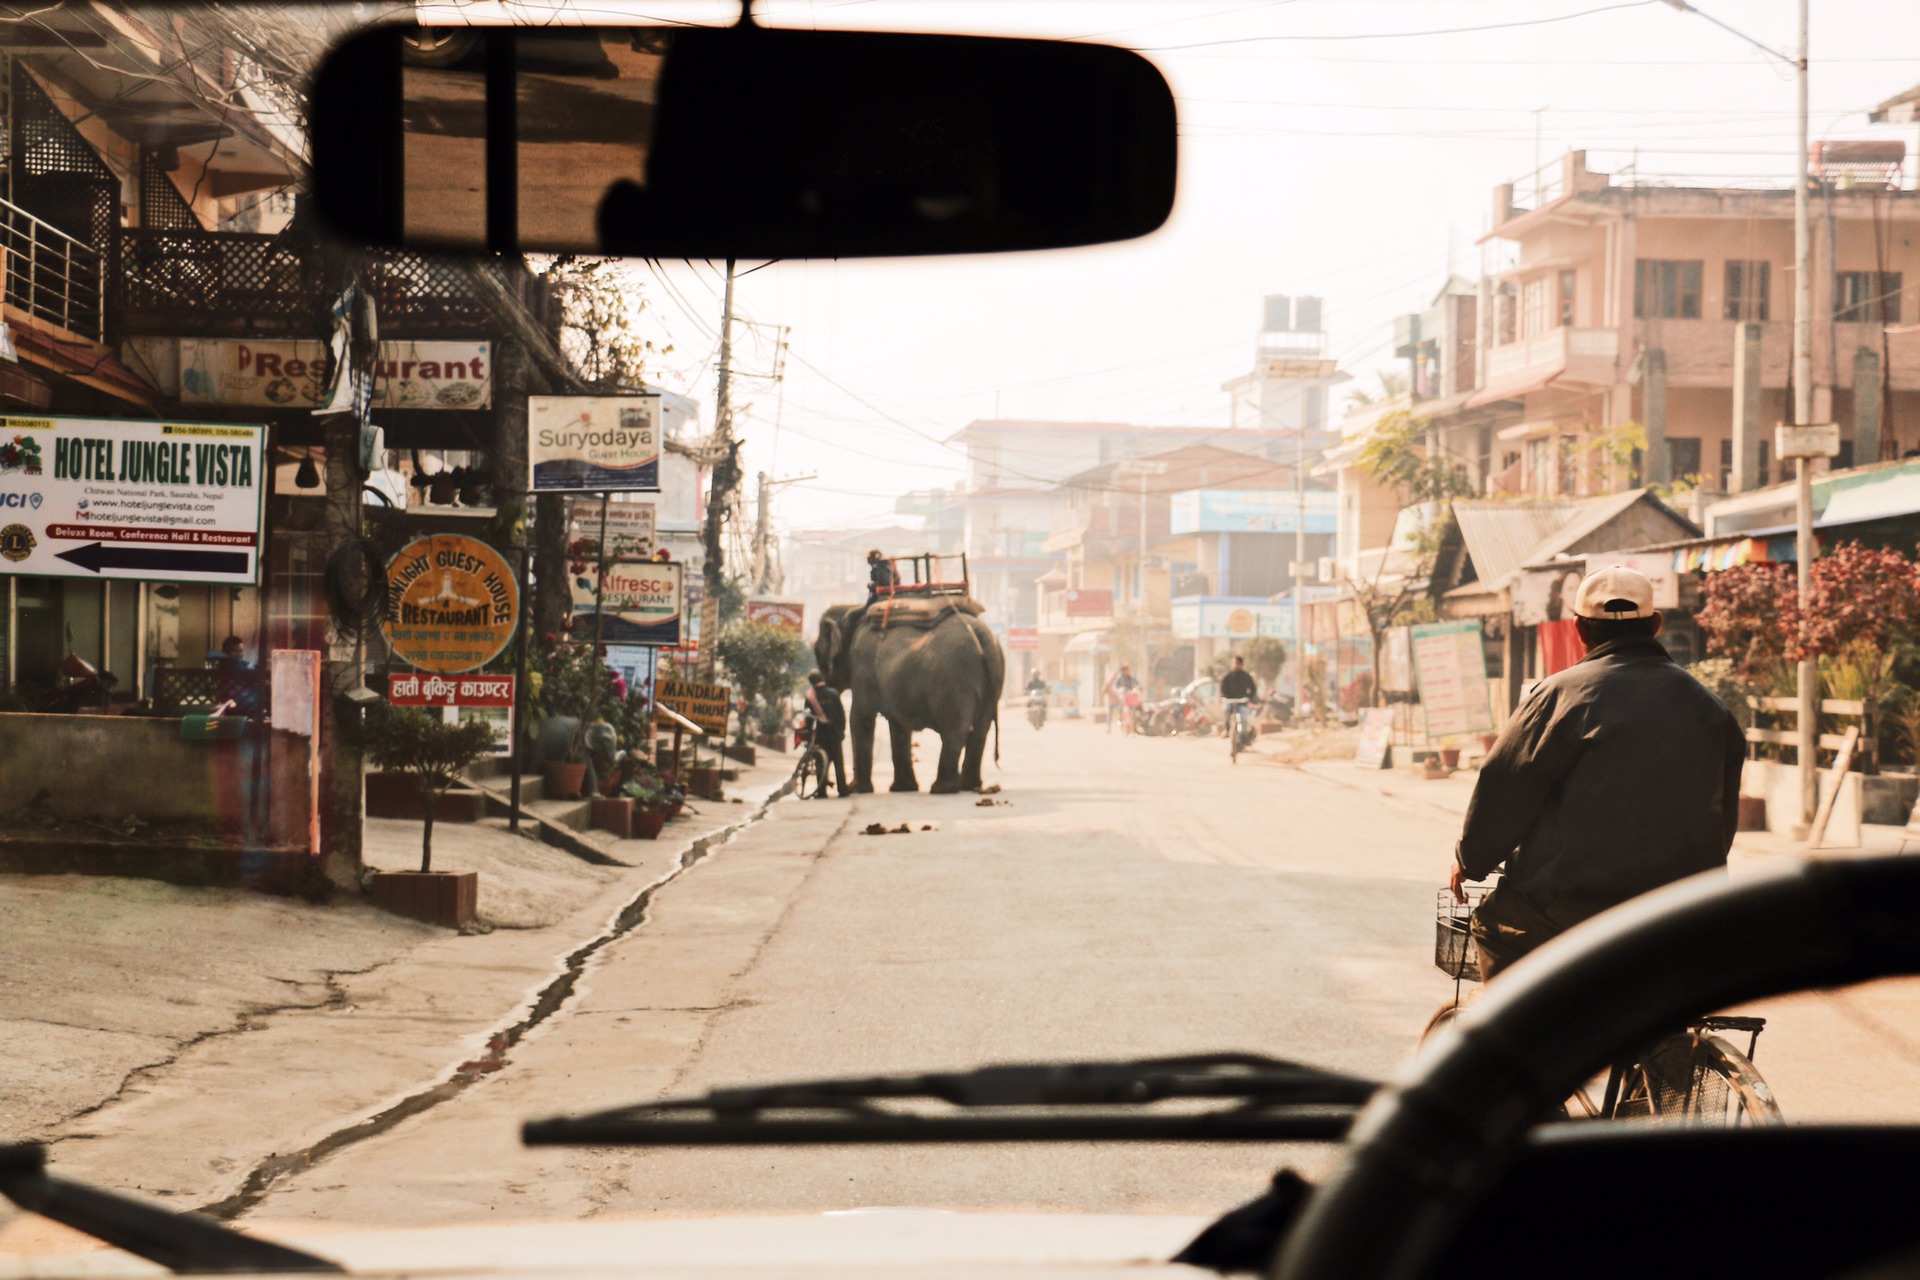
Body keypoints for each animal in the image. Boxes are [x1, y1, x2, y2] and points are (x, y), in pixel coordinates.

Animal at [817, 598, 1013, 794]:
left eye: (817, 652)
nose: (816, 678)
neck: (853, 610)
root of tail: (983, 636)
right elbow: (898, 725)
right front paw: (903, 788)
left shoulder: (862, 666)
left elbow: (861, 717)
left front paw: (857, 789)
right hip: (993, 679)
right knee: (980, 730)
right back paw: (969, 786)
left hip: (953, 677)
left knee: (954, 729)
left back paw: (942, 789)